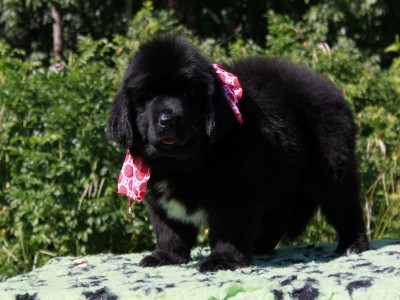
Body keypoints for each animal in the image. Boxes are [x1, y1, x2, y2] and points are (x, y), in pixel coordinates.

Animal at [107, 34, 368, 272]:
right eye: (147, 96)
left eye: (188, 95)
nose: (167, 120)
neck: (183, 164)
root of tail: (333, 91)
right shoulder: (161, 204)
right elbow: (170, 230)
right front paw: (166, 256)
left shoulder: (236, 193)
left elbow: (228, 230)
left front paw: (223, 260)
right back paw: (260, 246)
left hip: (332, 172)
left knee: (346, 207)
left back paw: (353, 245)